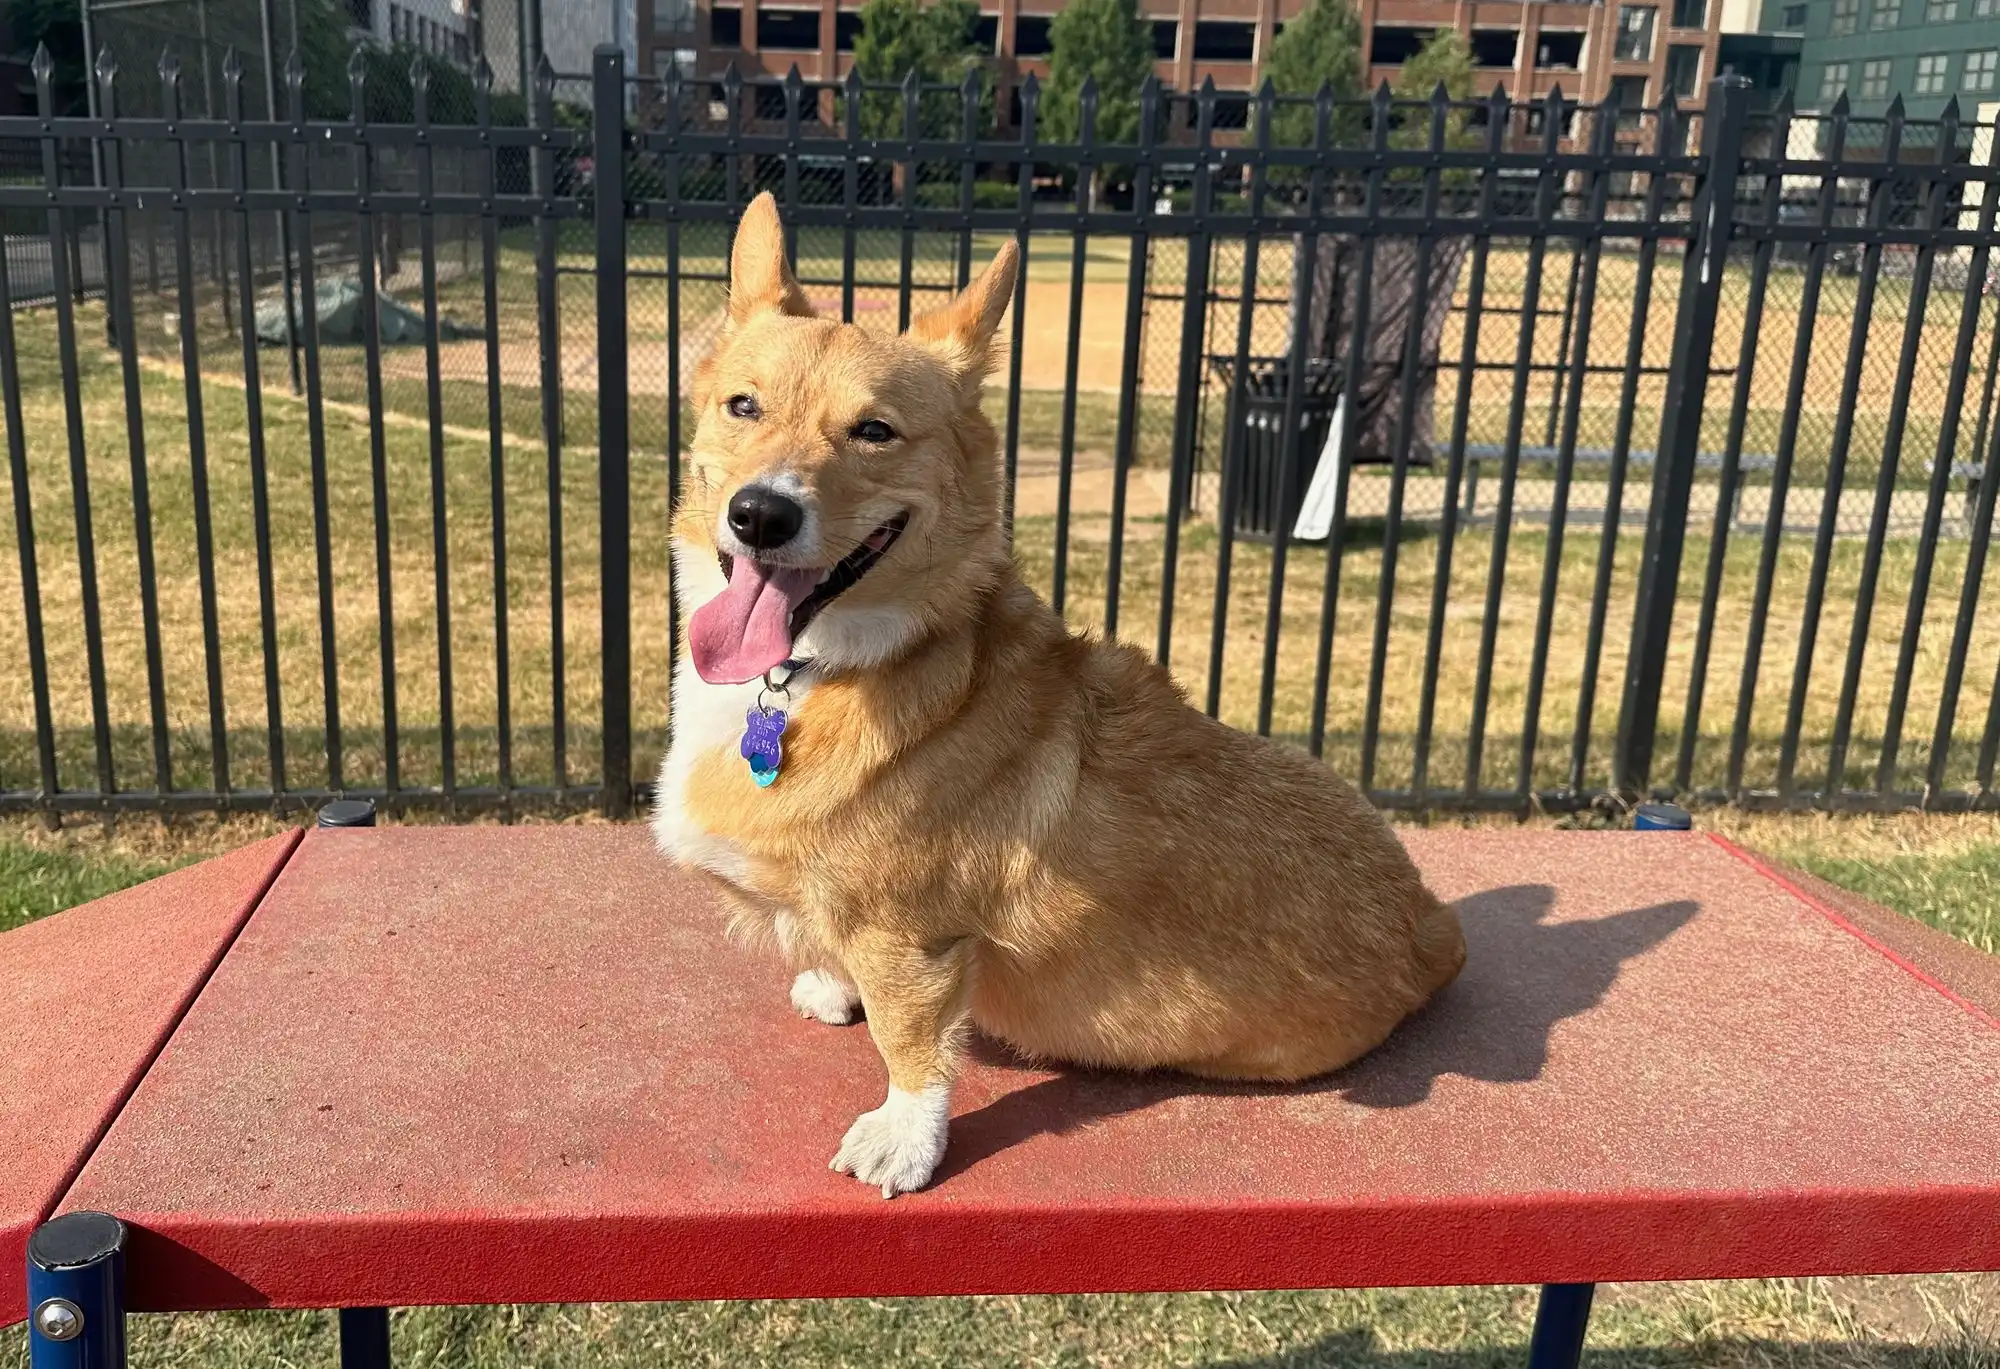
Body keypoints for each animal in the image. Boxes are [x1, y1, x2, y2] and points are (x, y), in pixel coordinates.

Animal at [660, 195, 1472, 1200]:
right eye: (744, 406)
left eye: (875, 431)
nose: (760, 514)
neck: (817, 673)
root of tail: (1432, 926)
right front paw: (828, 981)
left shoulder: (913, 938)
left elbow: (912, 1039)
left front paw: (905, 1138)